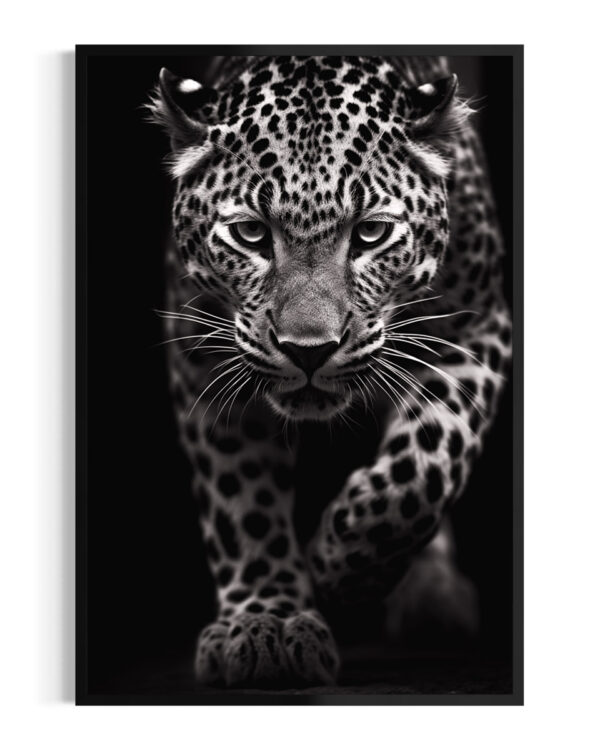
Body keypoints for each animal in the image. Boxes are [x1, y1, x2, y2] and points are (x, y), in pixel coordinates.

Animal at [147, 54, 512, 688]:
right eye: (250, 233)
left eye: (371, 232)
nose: (309, 350)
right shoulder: (202, 359)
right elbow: (242, 499)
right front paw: (266, 621)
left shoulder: (478, 324)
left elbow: (424, 465)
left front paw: (340, 569)